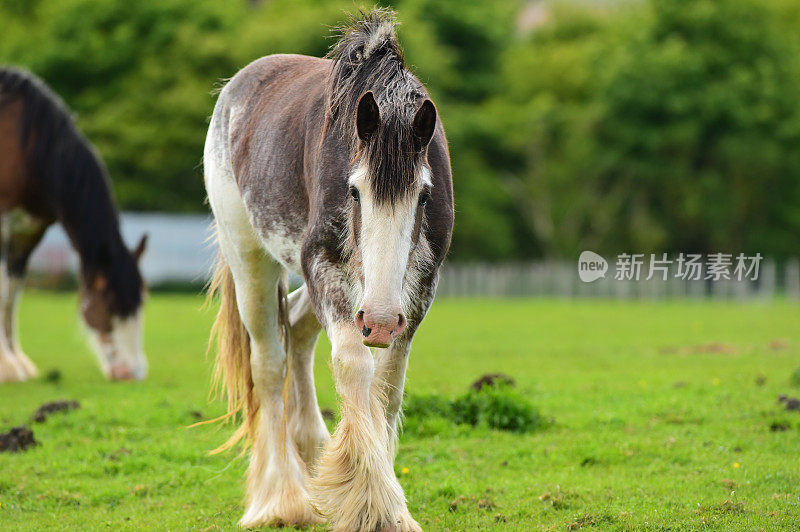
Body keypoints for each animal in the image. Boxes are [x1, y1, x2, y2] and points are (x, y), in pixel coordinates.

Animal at [0, 67, 148, 382]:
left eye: (142, 302)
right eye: (111, 304)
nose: (133, 372)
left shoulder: (28, 231)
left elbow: (12, 292)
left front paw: (18, 363)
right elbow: (3, 289)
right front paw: (6, 367)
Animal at [203, 9, 454, 532]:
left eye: (424, 196)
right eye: (353, 191)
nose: (379, 321)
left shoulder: (418, 291)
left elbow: (388, 386)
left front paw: (383, 503)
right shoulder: (322, 266)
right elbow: (353, 363)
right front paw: (376, 504)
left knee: (297, 327)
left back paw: (311, 449)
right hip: (251, 261)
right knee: (269, 363)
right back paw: (281, 499)